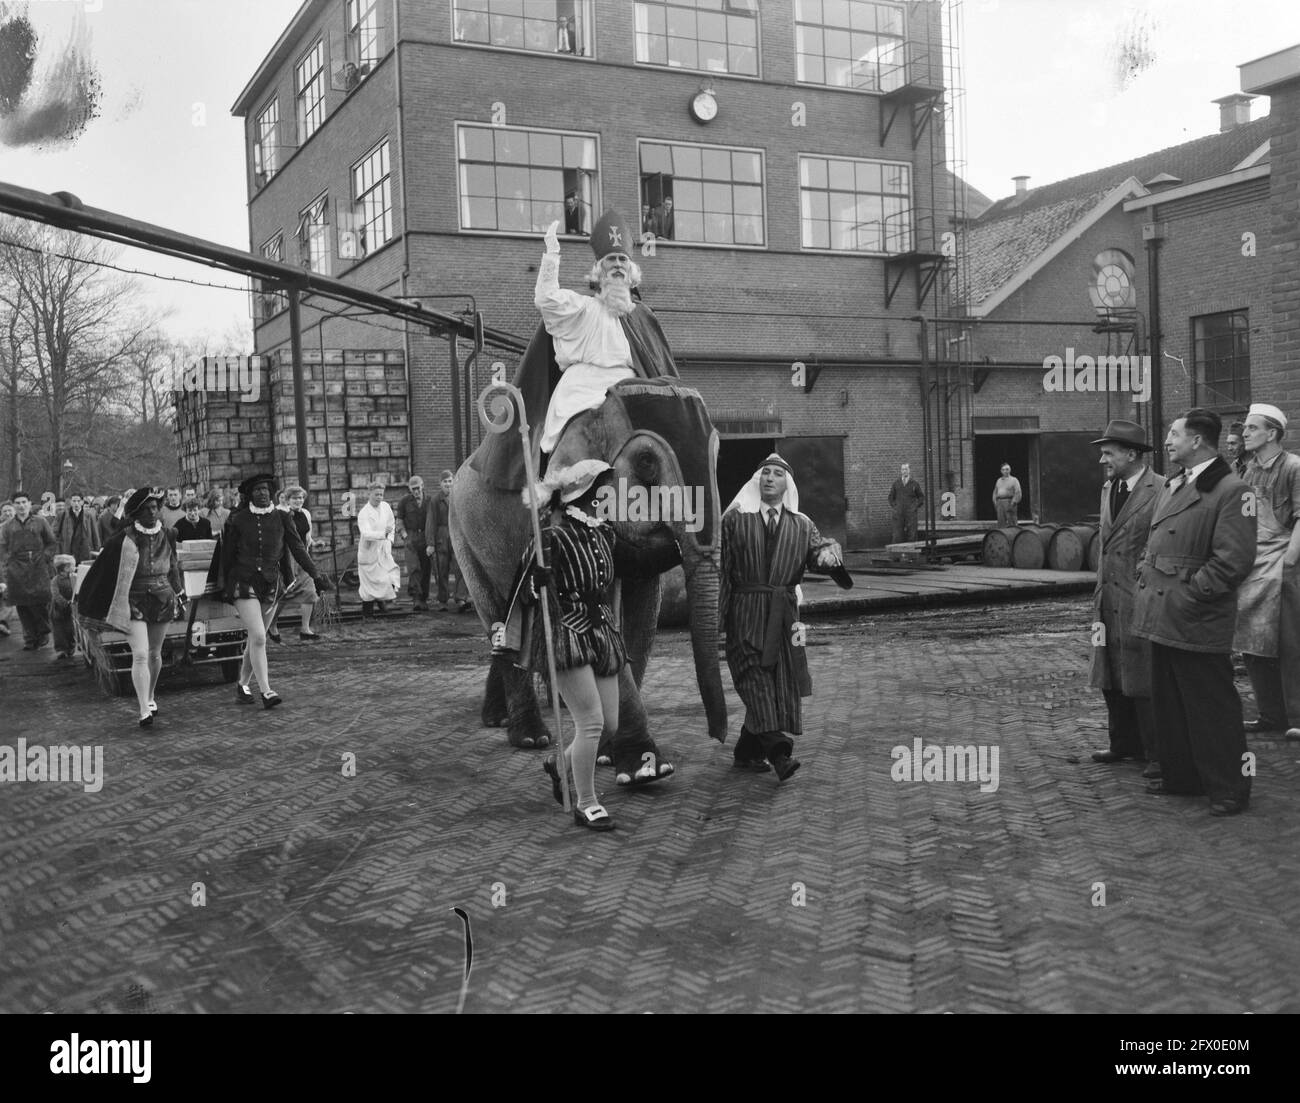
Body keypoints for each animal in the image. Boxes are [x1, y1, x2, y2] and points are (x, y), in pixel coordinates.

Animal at [452, 379, 728, 785]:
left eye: (719, 455)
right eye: (647, 462)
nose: (719, 737)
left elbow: (641, 617)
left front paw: (607, 755)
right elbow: (608, 621)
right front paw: (645, 768)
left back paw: (505, 718)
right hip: (464, 534)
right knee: (499, 619)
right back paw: (531, 737)